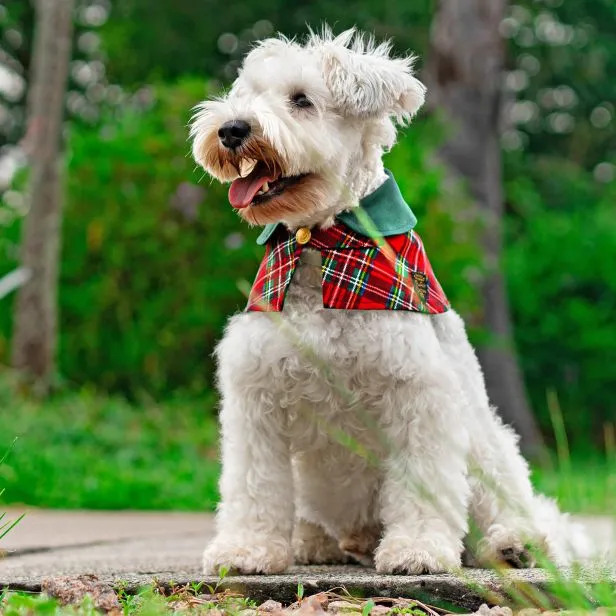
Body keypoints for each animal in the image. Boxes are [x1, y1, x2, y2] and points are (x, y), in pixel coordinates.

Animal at [190, 26, 588, 576]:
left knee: (514, 512)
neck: (321, 243)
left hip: (487, 447)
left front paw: (416, 550)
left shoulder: (418, 395)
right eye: (245, 95)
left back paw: (514, 544)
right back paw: (315, 542)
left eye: (301, 100)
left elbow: (422, 484)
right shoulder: (258, 398)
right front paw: (247, 549)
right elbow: (255, 485)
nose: (231, 129)